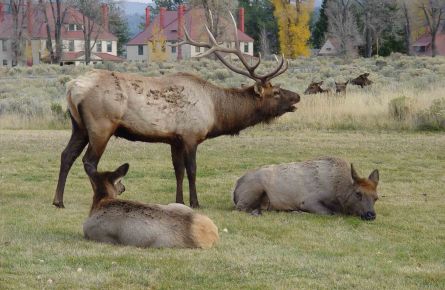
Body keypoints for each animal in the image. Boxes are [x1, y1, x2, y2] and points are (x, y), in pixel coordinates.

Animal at [53, 11, 300, 208]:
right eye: (276, 92)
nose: (297, 96)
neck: (215, 112)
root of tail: (72, 88)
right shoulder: (191, 135)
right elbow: (192, 169)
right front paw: (195, 202)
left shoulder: (174, 139)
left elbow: (177, 171)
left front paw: (179, 200)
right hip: (101, 125)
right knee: (89, 161)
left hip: (79, 126)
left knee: (66, 155)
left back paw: (58, 200)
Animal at [232, 157, 378, 221]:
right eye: (358, 193)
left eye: (376, 197)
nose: (371, 214)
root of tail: (236, 186)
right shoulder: (308, 201)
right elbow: (330, 213)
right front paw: (298, 212)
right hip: (254, 189)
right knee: (240, 208)